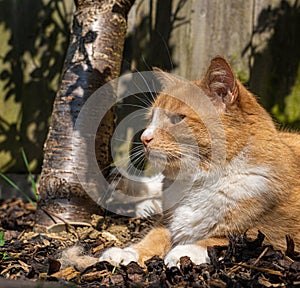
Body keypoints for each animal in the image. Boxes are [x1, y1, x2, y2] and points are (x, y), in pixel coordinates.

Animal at [99, 56, 300, 268]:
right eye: (151, 119)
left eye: (177, 119)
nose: (145, 138)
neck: (199, 183)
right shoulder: (168, 223)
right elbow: (151, 238)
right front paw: (125, 253)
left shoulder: (272, 236)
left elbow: (218, 240)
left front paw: (183, 252)